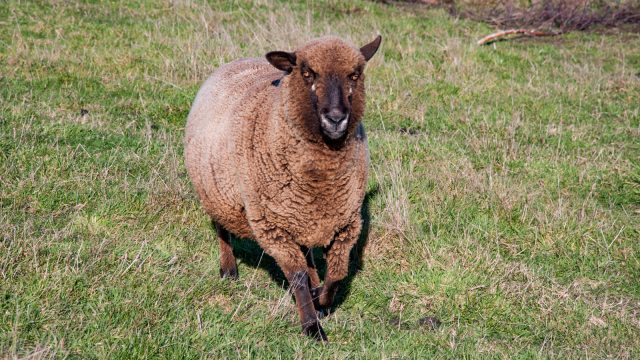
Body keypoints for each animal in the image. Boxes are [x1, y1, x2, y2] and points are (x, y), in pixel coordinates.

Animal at [182, 35, 380, 342]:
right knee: (221, 228)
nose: (336, 118)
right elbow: (296, 276)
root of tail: (238, 60)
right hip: (216, 190)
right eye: (307, 73)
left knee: (307, 253)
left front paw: (320, 299)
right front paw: (312, 326)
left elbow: (336, 274)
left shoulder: (346, 222)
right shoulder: (271, 227)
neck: (321, 178)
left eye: (355, 74)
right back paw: (228, 269)